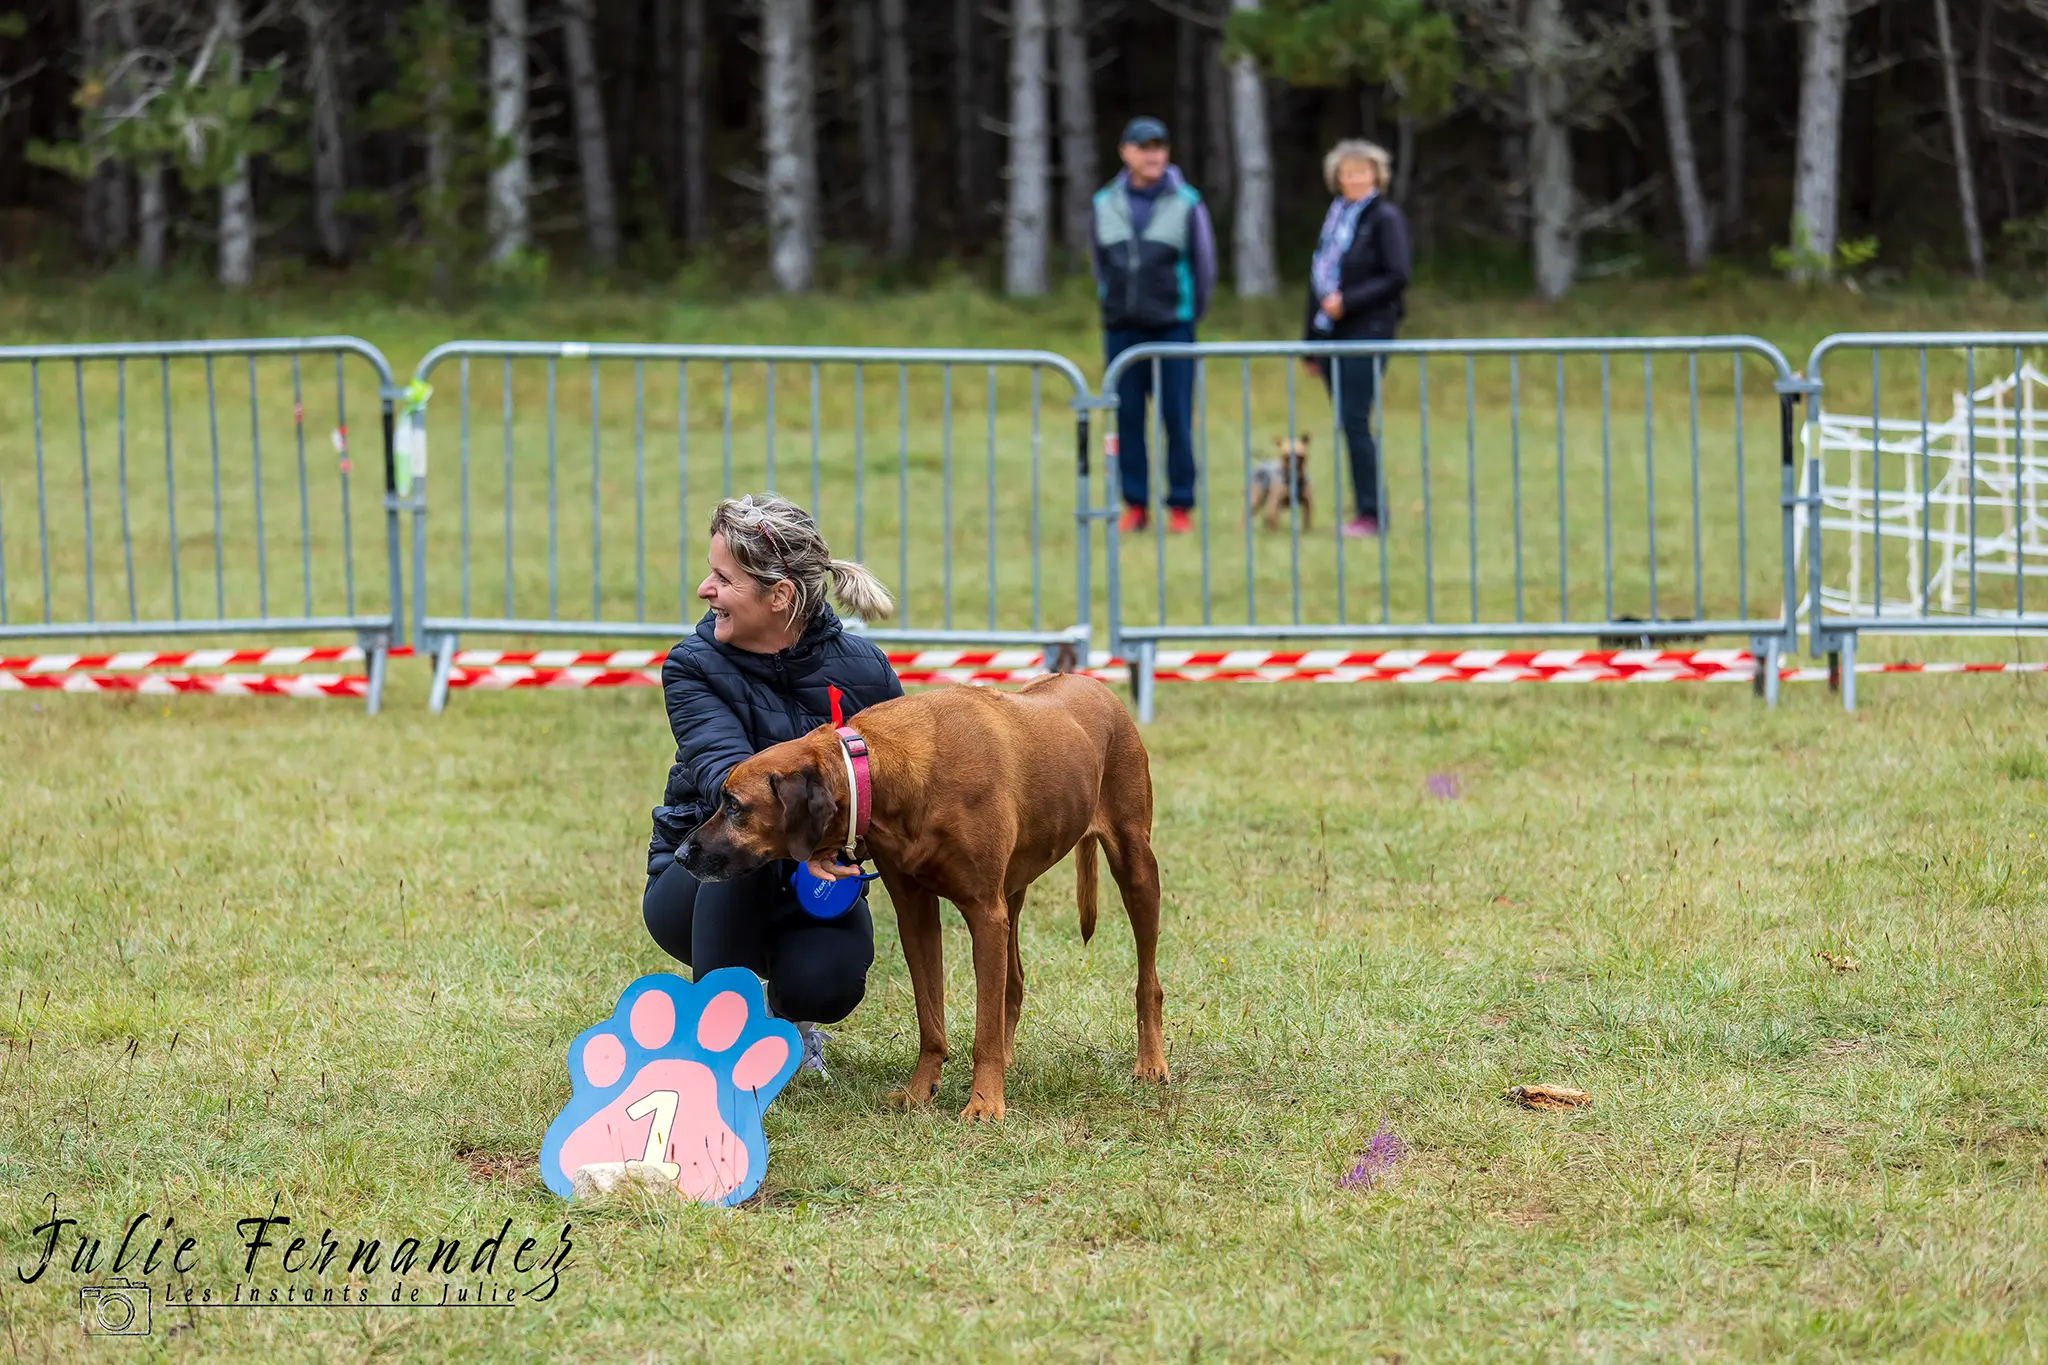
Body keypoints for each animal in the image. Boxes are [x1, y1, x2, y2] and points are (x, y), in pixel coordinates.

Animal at [679, 671, 1171, 1121]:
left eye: (735, 806)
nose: (683, 854)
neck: (880, 768)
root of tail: (1093, 682)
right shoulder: (916, 913)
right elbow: (930, 1017)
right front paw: (920, 1091)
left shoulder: (984, 912)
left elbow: (983, 1031)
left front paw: (984, 1103)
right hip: (1015, 887)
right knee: (1013, 981)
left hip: (1135, 864)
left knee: (1148, 981)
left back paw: (1150, 1064)